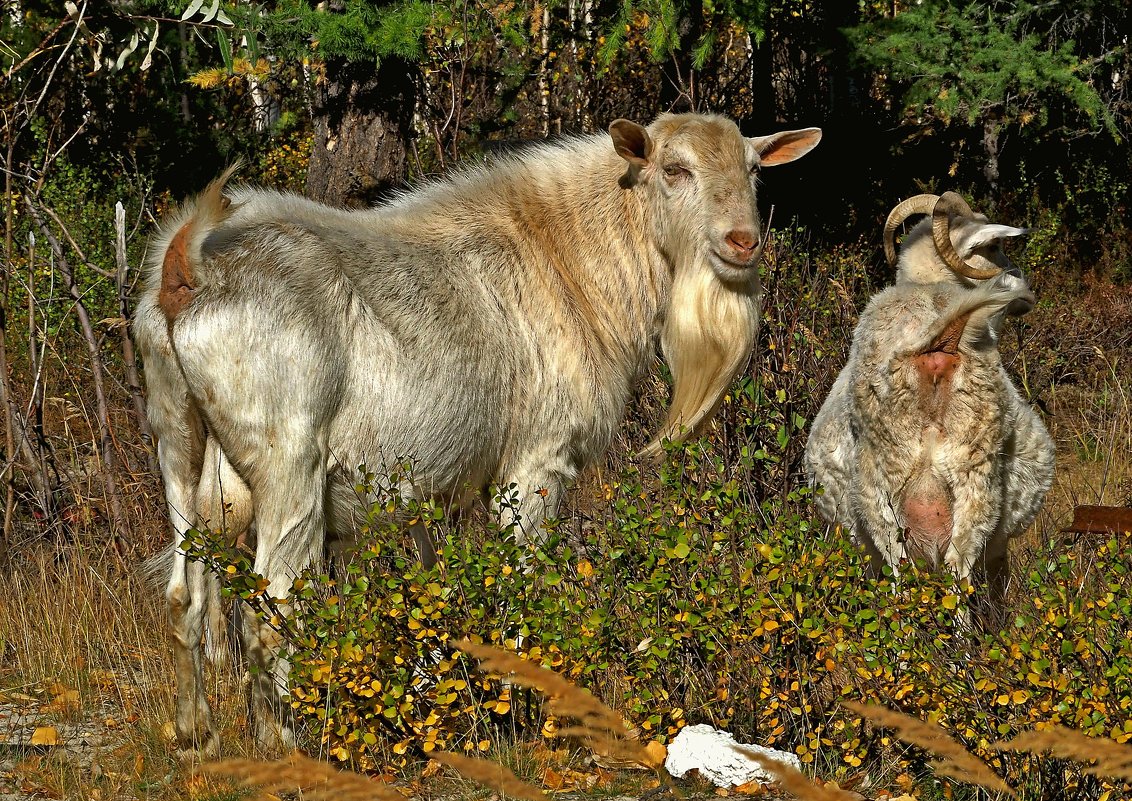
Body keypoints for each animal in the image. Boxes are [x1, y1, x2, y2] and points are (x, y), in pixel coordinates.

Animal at [132, 114, 824, 755]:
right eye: (676, 169)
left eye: (754, 169)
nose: (743, 242)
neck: (573, 262)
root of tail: (186, 274)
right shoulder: (537, 462)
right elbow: (519, 589)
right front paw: (520, 714)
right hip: (288, 463)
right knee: (268, 611)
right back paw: (284, 744)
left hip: (181, 444)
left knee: (181, 596)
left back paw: (196, 734)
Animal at [805, 195, 1050, 619]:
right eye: (993, 247)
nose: (1025, 287)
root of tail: (937, 346)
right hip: (972, 479)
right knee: (955, 570)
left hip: (887, 490)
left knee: (906, 576)